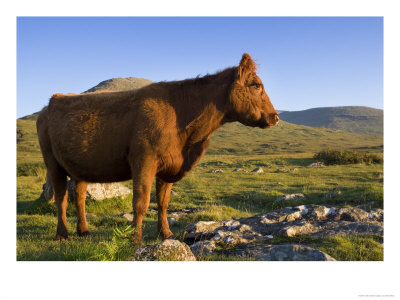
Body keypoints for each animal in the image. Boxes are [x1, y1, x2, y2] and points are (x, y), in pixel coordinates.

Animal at [36, 52, 278, 243]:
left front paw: (166, 234)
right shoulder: (144, 161)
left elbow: (163, 203)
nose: (275, 117)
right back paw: (62, 234)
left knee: (79, 196)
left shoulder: (169, 165)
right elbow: (141, 202)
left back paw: (83, 231)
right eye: (256, 85)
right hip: (52, 162)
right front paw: (136, 239)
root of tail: (53, 100)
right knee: (61, 198)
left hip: (81, 166)